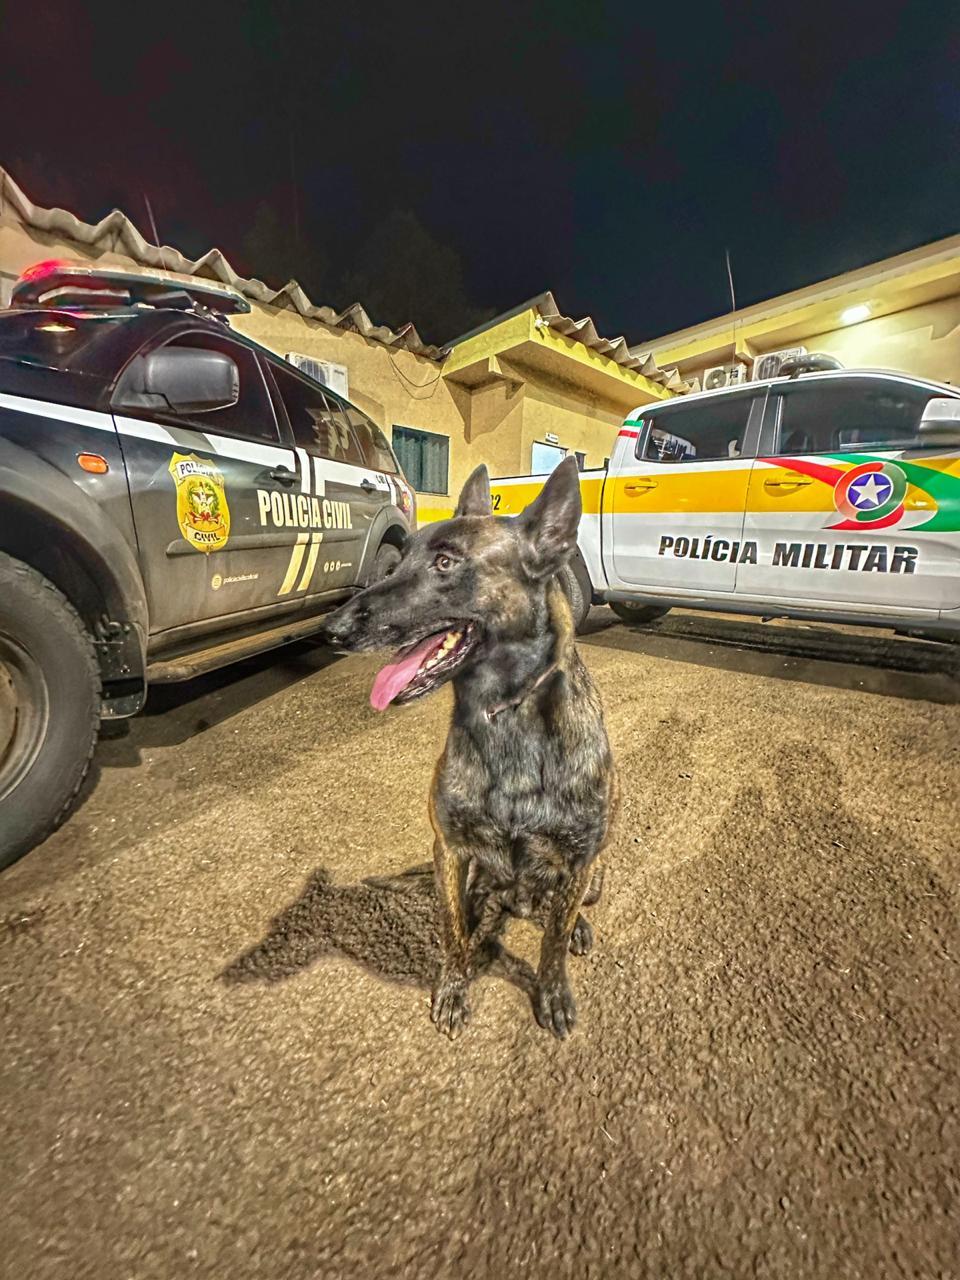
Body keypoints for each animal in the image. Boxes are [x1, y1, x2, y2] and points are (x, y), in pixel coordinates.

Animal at [323, 460, 619, 1039]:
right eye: (402, 558)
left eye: (445, 562)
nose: (333, 629)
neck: (506, 716)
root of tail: (520, 902)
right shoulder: (452, 850)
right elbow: (452, 930)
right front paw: (455, 987)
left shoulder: (578, 860)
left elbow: (552, 944)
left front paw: (552, 991)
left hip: (594, 875)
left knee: (562, 911)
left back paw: (574, 926)